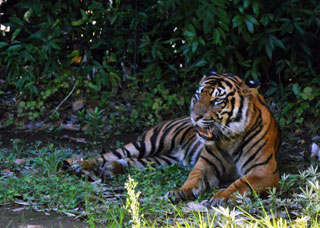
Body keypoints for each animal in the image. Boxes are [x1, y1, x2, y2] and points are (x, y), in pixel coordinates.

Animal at [65, 69, 280, 205]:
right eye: (197, 96)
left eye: (217, 100)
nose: (195, 116)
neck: (229, 138)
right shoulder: (205, 164)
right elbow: (193, 178)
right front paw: (180, 192)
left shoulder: (263, 171)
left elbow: (241, 183)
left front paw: (222, 197)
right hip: (147, 143)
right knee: (111, 154)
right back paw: (80, 165)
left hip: (162, 160)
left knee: (130, 161)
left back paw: (111, 169)